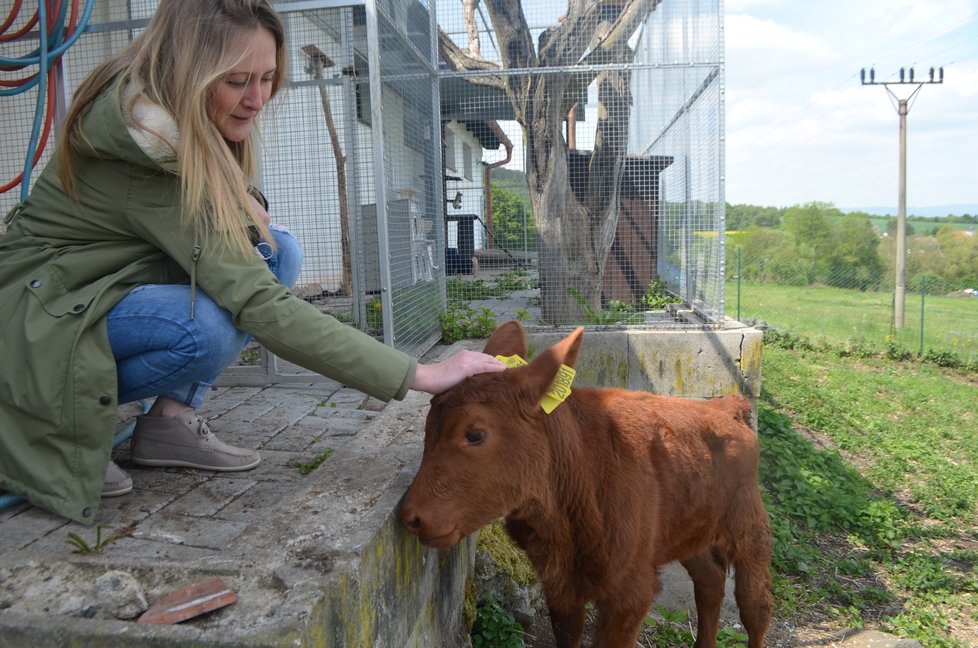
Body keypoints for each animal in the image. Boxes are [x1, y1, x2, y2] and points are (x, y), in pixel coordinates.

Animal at [396, 322, 772, 644]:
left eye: (474, 434)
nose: (411, 517)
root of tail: (728, 406)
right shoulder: (560, 587)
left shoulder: (630, 593)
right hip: (688, 529)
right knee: (709, 581)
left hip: (749, 526)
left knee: (755, 607)